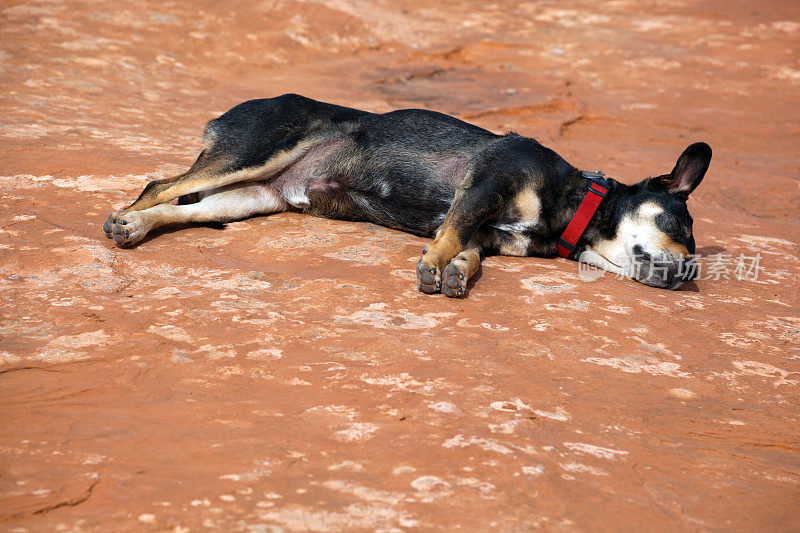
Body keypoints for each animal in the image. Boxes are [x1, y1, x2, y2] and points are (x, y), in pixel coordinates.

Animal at [104, 94, 712, 296]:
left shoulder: (485, 232)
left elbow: (468, 253)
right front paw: (433, 267)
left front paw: (456, 275)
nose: (689, 274)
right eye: (681, 230)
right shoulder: (483, 185)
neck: (573, 205)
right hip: (251, 152)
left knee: (181, 206)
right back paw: (123, 223)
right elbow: (448, 237)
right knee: (159, 186)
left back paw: (138, 227)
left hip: (254, 194)